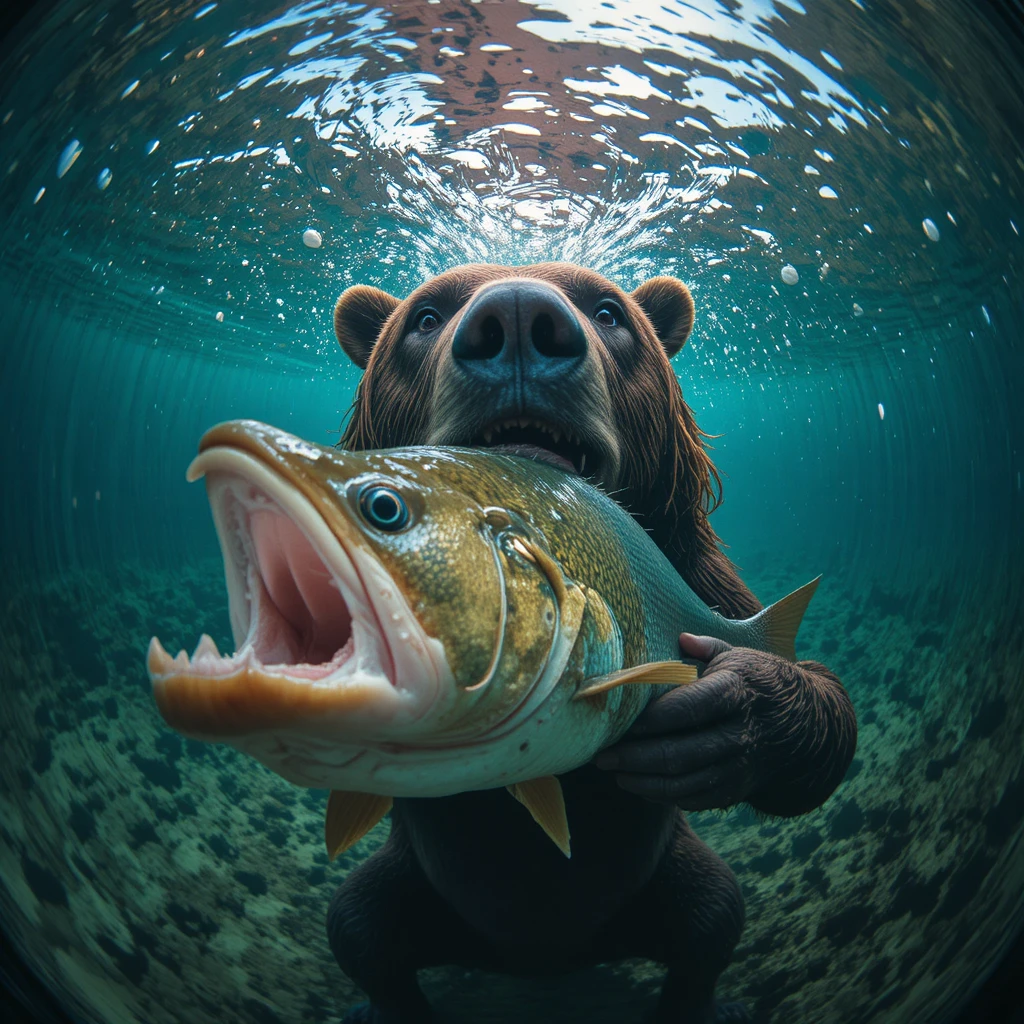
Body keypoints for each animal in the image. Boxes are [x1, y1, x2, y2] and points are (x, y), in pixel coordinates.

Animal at [326, 262, 857, 1023]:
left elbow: (817, 691)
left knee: (711, 920)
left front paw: (725, 713)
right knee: (361, 928)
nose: (519, 316)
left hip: (666, 883)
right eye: (425, 317)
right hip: (412, 891)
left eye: (609, 311)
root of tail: (537, 961)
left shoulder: (697, 569)